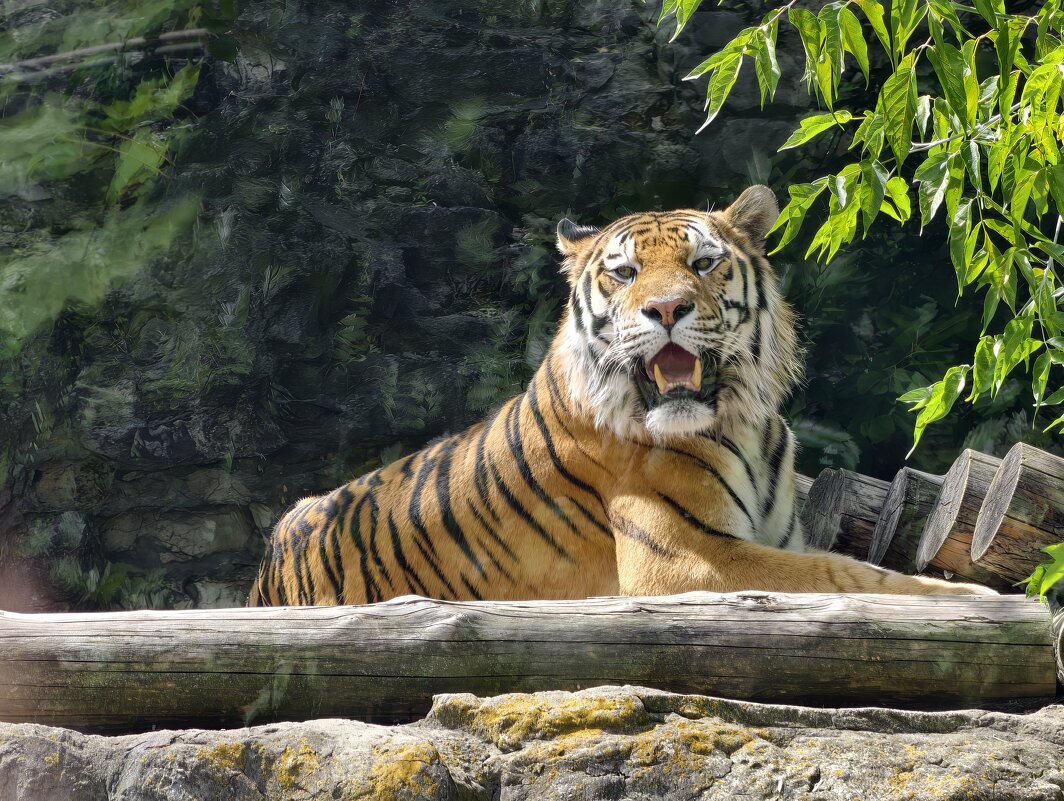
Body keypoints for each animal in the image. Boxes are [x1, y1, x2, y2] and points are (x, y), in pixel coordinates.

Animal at [248, 185, 994, 606]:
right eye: (627, 273)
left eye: (703, 263)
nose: (666, 309)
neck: (743, 424)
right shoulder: (690, 560)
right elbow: (849, 575)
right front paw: (974, 594)